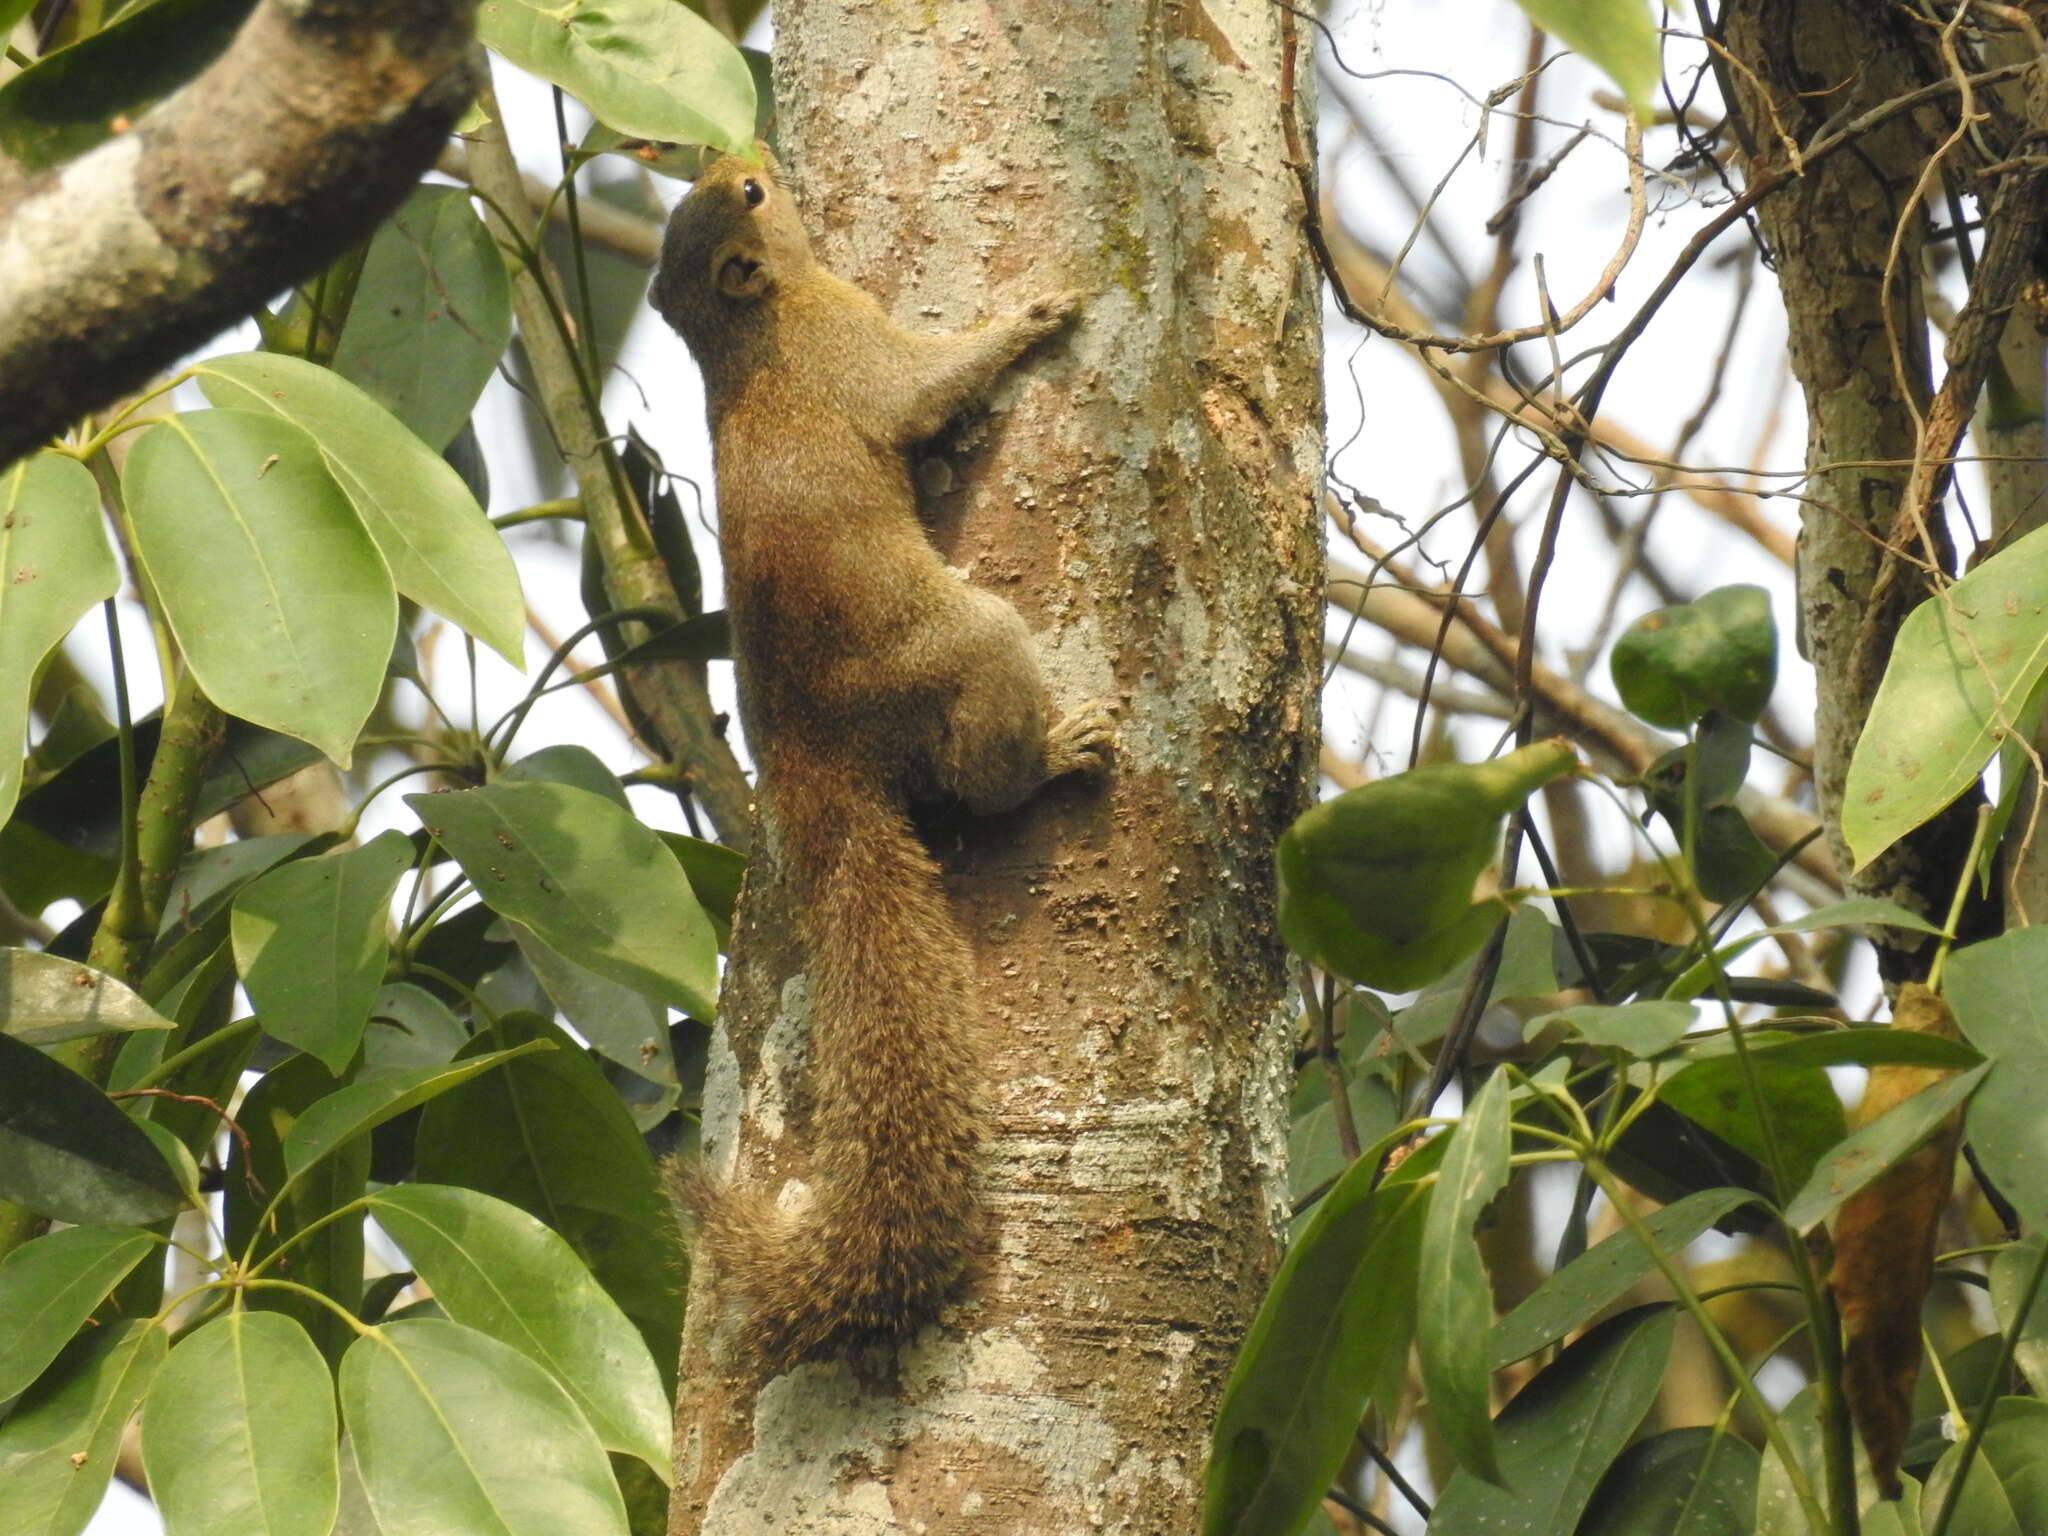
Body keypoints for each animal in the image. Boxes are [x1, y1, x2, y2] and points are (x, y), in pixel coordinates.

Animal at [651, 147, 1114, 1368]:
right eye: (751, 202)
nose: (750, 156)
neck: (742, 338)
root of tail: (814, 759)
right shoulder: (849, 344)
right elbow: (921, 393)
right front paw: (1032, 321)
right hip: (963, 648)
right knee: (984, 779)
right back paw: (1055, 754)